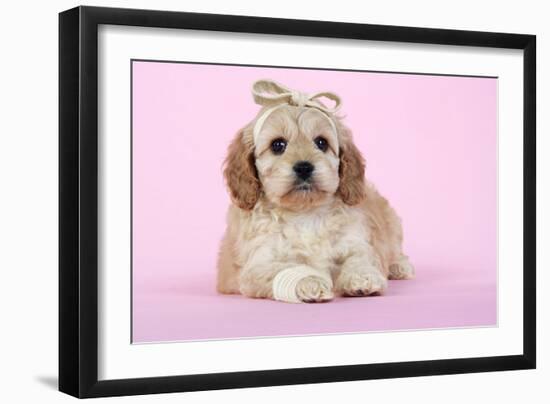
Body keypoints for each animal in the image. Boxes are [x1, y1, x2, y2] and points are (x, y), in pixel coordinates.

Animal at [216, 79, 414, 304]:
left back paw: (399, 266)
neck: (305, 213)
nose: (304, 167)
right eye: (277, 145)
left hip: (393, 224)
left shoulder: (355, 241)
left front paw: (362, 277)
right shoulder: (259, 264)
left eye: (321, 142)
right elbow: (288, 268)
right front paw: (310, 281)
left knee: (395, 249)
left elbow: (360, 257)